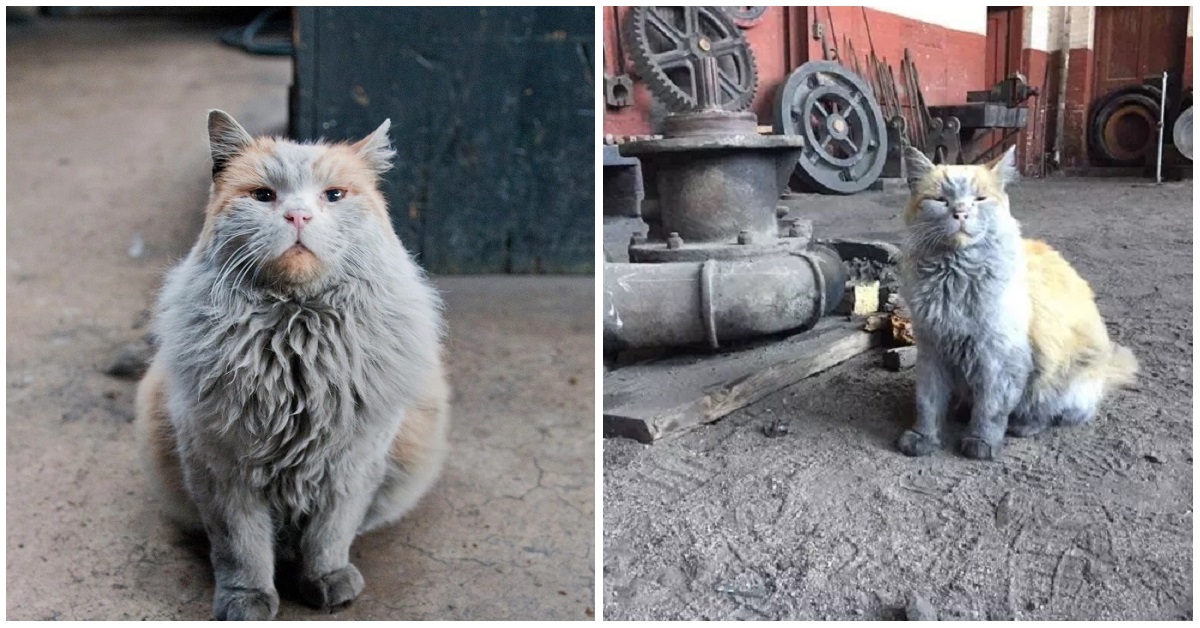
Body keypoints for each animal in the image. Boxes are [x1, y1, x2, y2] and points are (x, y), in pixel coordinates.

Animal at [132, 111, 451, 619]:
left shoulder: (352, 466)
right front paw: (246, 601)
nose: (298, 216)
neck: (296, 337)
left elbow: (330, 537)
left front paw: (326, 581)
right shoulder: (221, 471)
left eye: (333, 196)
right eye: (264, 196)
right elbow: (241, 550)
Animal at [897, 147, 1137, 461]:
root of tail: (1105, 369)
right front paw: (923, 437)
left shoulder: (999, 357)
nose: (960, 212)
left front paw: (981, 442)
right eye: (940, 200)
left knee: (1053, 413)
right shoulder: (932, 350)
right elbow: (928, 403)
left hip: (1058, 382)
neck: (955, 279)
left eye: (979, 199)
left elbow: (991, 409)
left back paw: (1022, 425)